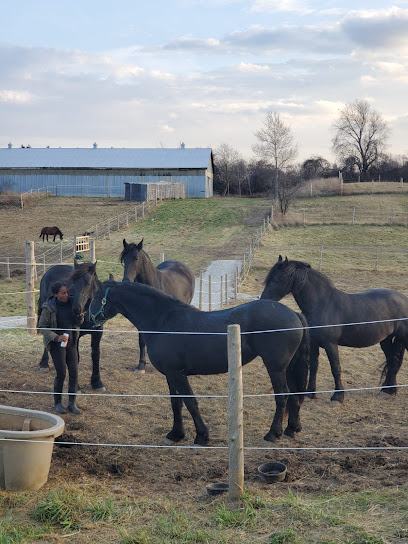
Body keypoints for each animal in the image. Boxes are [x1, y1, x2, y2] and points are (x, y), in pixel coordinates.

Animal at [36, 260, 105, 392]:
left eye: (88, 283)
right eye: (73, 283)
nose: (76, 309)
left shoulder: (98, 332)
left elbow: (96, 355)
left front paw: (97, 382)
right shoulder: (74, 335)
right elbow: (76, 358)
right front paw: (76, 385)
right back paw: (44, 364)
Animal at [89, 278, 310, 444]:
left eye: (97, 296)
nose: (88, 318)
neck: (163, 321)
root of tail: (294, 314)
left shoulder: (178, 374)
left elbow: (190, 402)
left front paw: (202, 435)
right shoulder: (170, 375)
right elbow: (176, 403)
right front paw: (176, 434)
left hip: (275, 368)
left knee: (282, 396)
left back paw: (273, 434)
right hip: (288, 368)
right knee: (293, 396)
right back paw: (292, 428)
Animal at [260, 255, 408, 404]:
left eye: (278, 279)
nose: (263, 300)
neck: (323, 304)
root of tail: (403, 299)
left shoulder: (330, 344)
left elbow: (335, 368)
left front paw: (338, 396)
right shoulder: (314, 343)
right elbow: (314, 366)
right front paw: (310, 392)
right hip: (386, 340)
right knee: (392, 360)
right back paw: (388, 390)